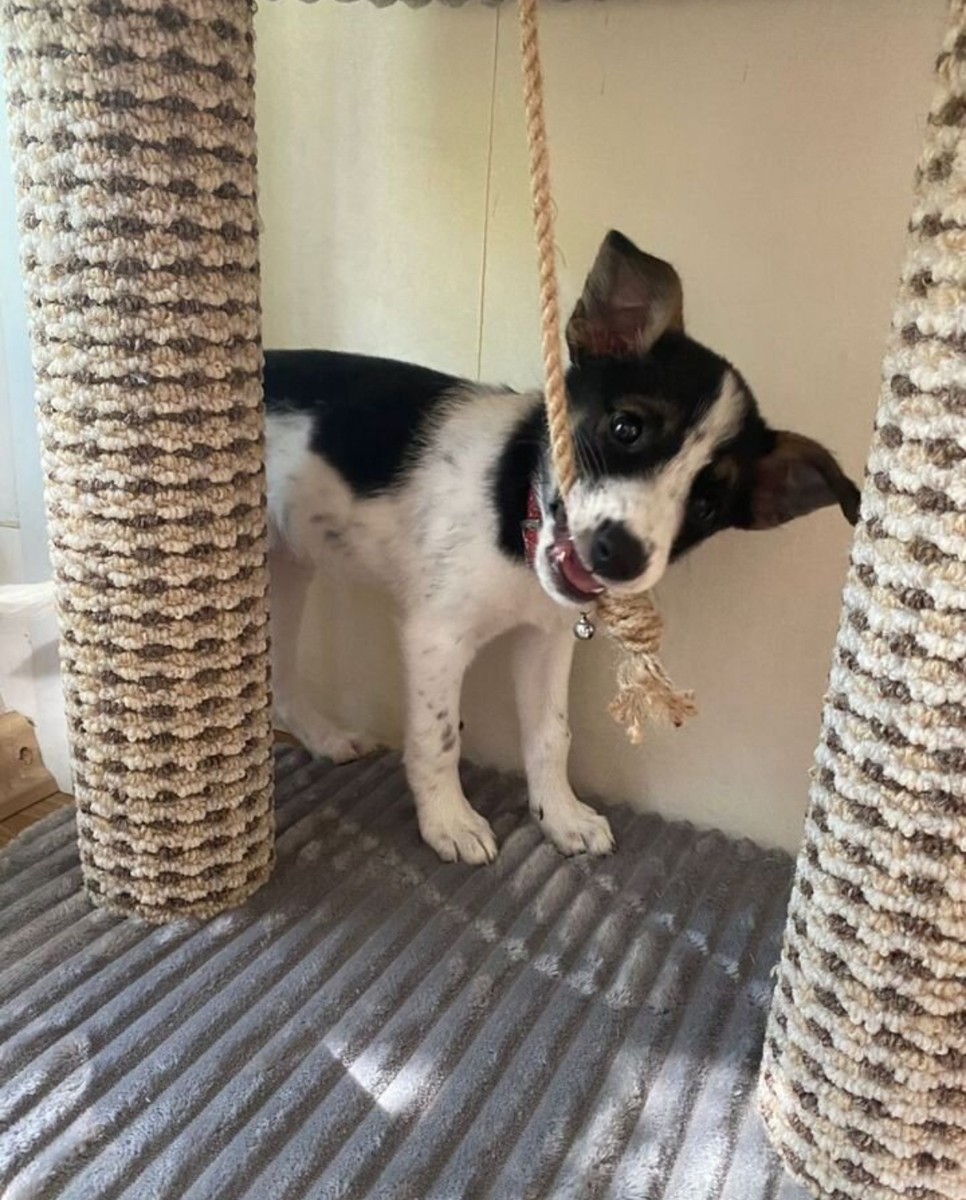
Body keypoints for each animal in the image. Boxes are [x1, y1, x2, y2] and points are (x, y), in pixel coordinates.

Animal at [264, 230, 860, 865]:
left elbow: (553, 734)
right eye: (626, 428)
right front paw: (448, 821)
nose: (619, 554)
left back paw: (326, 737)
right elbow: (440, 736)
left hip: (286, 572)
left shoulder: (546, 640)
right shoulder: (436, 637)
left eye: (706, 506)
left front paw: (561, 815)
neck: (516, 513)